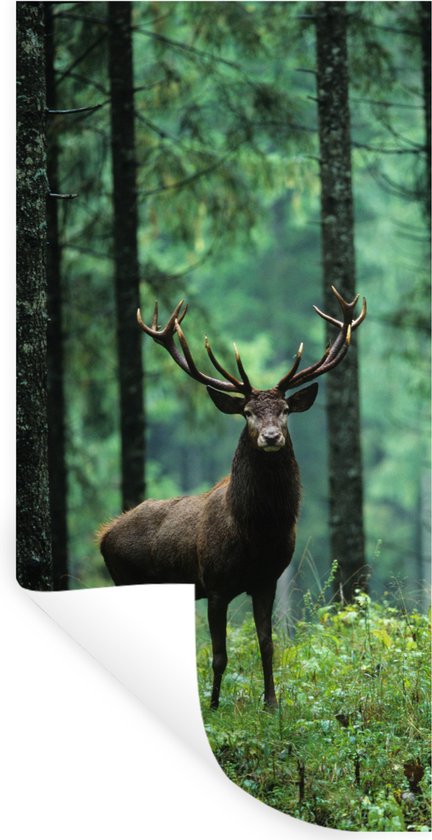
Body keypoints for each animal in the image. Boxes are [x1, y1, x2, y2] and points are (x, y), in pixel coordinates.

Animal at [99, 287, 366, 709]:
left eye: (286, 410)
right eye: (247, 412)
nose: (271, 437)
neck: (256, 533)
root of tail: (104, 535)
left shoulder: (267, 580)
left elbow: (267, 644)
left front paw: (271, 703)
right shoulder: (215, 584)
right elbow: (219, 655)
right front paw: (212, 706)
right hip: (124, 578)